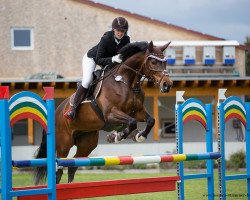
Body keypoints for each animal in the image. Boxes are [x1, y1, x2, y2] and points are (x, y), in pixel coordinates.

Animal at [34, 40, 173, 184]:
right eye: (153, 62)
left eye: (165, 62)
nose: (167, 85)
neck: (126, 82)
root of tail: (56, 112)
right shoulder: (111, 114)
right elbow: (132, 122)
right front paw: (118, 136)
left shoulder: (138, 112)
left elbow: (151, 120)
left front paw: (139, 136)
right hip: (64, 143)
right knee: (60, 167)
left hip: (87, 142)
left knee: (74, 164)